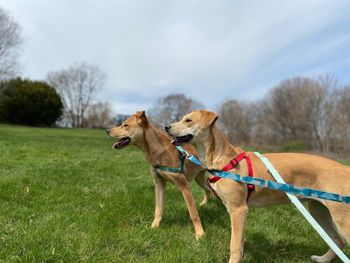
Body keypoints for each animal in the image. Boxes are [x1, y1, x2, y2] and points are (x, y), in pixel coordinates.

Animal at [106, 111, 209, 241]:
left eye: (125, 125)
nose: (107, 130)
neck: (157, 150)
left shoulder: (184, 186)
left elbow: (193, 213)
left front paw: (200, 234)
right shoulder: (159, 183)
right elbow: (158, 209)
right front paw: (154, 226)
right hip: (198, 179)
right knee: (209, 189)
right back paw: (204, 203)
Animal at [165, 110, 350, 263]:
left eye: (188, 120)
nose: (166, 127)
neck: (221, 159)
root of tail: (345, 168)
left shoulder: (238, 210)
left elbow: (234, 245)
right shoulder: (236, 212)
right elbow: (239, 241)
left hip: (342, 219)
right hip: (318, 210)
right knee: (337, 241)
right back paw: (322, 259)